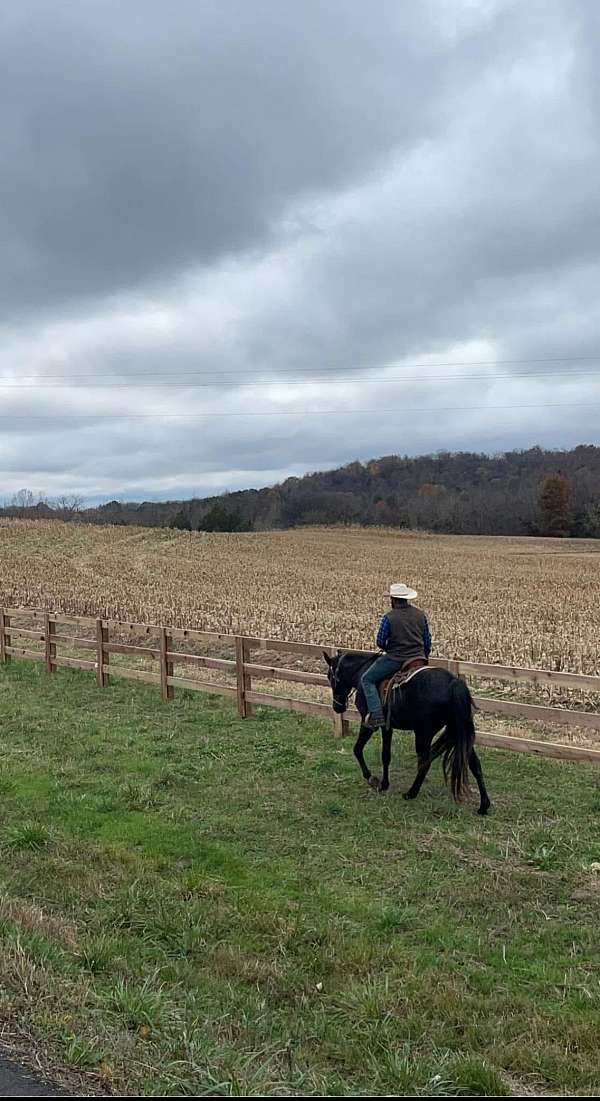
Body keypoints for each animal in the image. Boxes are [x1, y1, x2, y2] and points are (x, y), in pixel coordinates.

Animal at [325, 647, 488, 814]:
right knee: (474, 764)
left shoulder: (368, 723)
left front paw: (372, 779)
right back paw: (483, 805)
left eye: (329, 676)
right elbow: (386, 755)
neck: (362, 672)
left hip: (424, 734)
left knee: (425, 762)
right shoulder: (387, 727)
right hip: (458, 732)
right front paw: (384, 784)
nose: (337, 707)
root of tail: (453, 683)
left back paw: (411, 793)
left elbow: (358, 749)